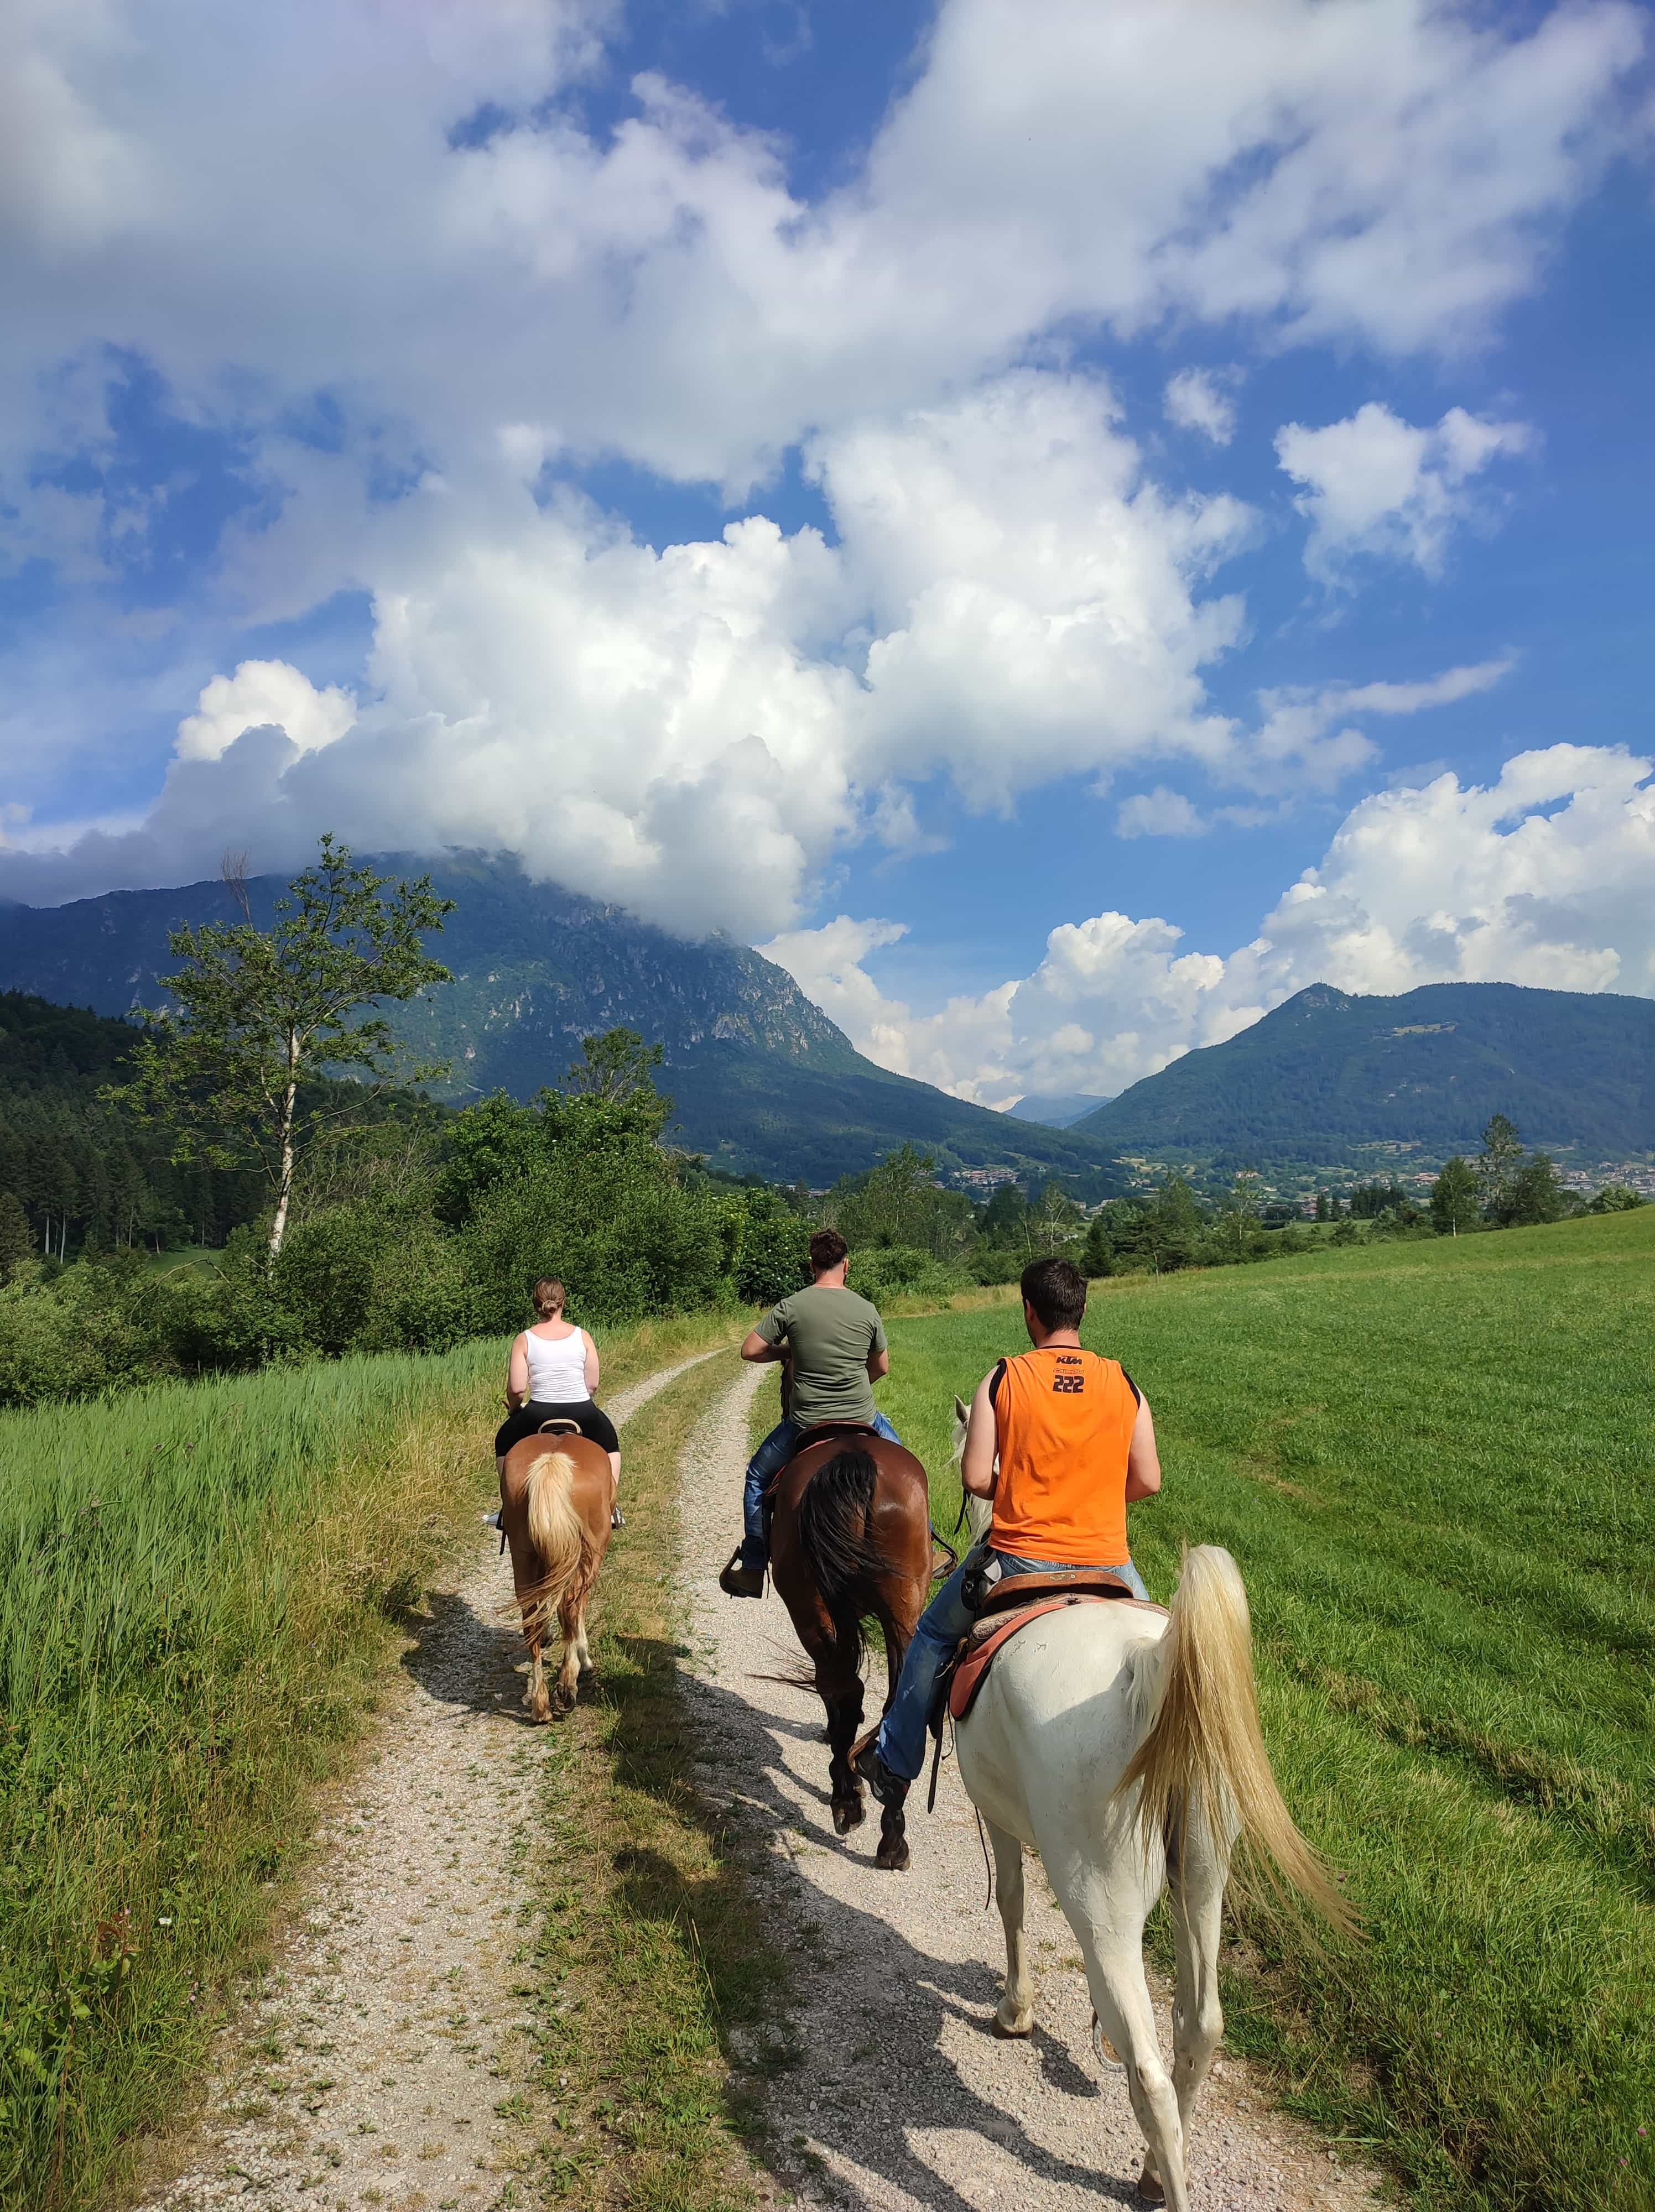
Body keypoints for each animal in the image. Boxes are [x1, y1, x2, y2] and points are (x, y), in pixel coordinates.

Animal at [504, 1425, 615, 1717]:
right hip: (590, 1553)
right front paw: (584, 1659)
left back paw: (540, 1704)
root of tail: (552, 1462)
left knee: (531, 1615)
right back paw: (568, 1685)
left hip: (522, 1553)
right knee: (571, 1606)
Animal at [770, 1425, 938, 1876]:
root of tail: (851, 1461)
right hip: (904, 1609)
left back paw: (848, 1801)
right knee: (891, 1705)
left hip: (812, 1609)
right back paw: (892, 1837)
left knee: (843, 1692)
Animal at [951, 1398, 1354, 2194]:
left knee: (1150, 2070)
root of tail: (1148, 1671)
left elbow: (1011, 1904)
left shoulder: (997, 1817)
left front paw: (1015, 2010)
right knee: (1199, 2026)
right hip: (1202, 1876)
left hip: (1101, 1903)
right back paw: (1147, 2170)